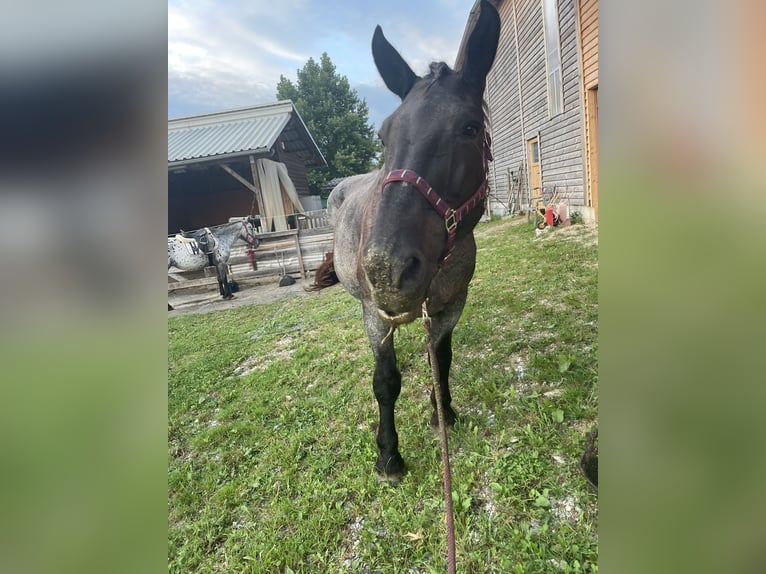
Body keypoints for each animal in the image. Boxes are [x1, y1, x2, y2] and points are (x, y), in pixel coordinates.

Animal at [308, 2, 500, 484]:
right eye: (383, 136)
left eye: (470, 128)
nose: (387, 270)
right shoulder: (375, 316)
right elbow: (385, 381)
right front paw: (389, 455)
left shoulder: (452, 304)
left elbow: (441, 358)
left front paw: (442, 412)